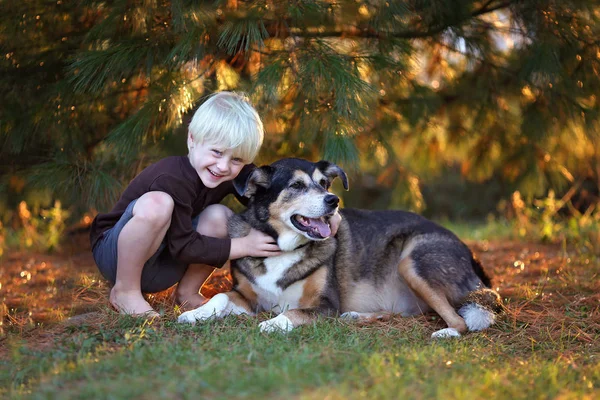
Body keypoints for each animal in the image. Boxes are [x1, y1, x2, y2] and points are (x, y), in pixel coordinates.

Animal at [178, 158, 502, 340]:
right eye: (296, 186)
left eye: (324, 183)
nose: (333, 201)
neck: (283, 249)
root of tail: (471, 255)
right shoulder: (247, 298)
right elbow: (220, 296)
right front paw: (195, 314)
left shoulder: (326, 304)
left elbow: (295, 313)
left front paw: (273, 324)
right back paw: (358, 316)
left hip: (411, 262)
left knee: (461, 320)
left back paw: (447, 332)